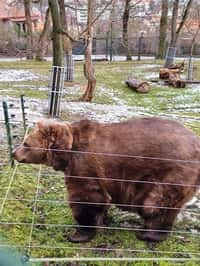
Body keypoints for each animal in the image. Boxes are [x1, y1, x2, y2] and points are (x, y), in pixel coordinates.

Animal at [12, 118, 200, 243]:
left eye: (26, 143)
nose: (14, 153)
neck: (67, 153)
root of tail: (196, 142)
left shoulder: (85, 167)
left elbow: (86, 199)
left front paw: (76, 234)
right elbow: (100, 200)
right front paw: (103, 219)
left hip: (172, 172)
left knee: (155, 204)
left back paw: (148, 234)